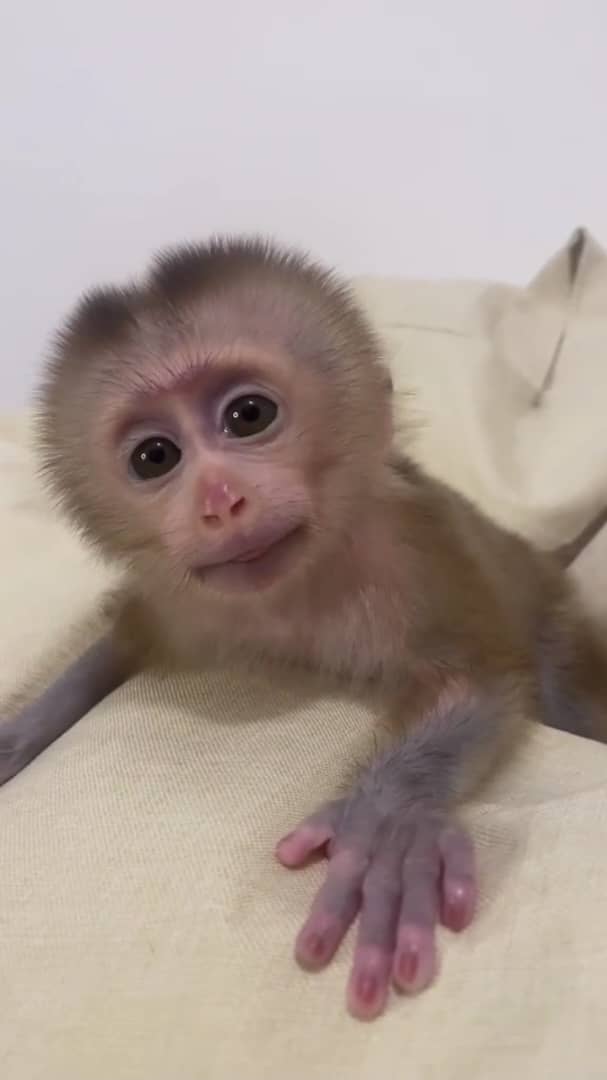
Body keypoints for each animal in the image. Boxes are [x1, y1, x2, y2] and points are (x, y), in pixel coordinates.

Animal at [2, 236, 607, 1022]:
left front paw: (386, 822)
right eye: (155, 457)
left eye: (248, 415)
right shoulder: (179, 604)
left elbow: (479, 676)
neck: (293, 595)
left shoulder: (411, 549)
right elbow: (120, 642)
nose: (220, 501)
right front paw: (19, 735)